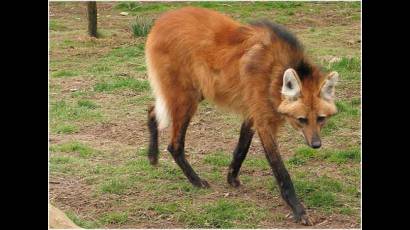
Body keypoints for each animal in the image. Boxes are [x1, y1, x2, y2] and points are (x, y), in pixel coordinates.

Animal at [146, 6, 338, 225]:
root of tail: (162, 19)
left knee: (152, 111)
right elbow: (280, 170)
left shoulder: (253, 112)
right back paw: (197, 181)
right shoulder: (263, 122)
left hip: (197, 91)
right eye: (302, 120)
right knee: (174, 144)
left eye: (321, 119)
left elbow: (241, 149)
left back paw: (152, 156)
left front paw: (231, 179)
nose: (316, 145)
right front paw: (299, 211)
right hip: (188, 98)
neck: (275, 75)